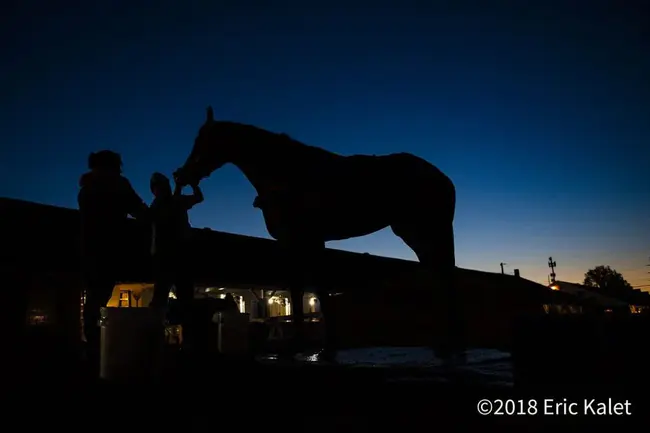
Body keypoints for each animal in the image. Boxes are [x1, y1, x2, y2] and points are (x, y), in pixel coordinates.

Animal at [173, 107, 460, 362]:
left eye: (205, 140)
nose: (181, 174)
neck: (287, 174)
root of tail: (441, 176)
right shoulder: (299, 242)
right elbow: (305, 289)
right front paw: (309, 344)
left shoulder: (307, 239)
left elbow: (310, 289)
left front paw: (314, 345)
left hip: (424, 230)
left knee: (444, 273)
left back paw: (448, 342)